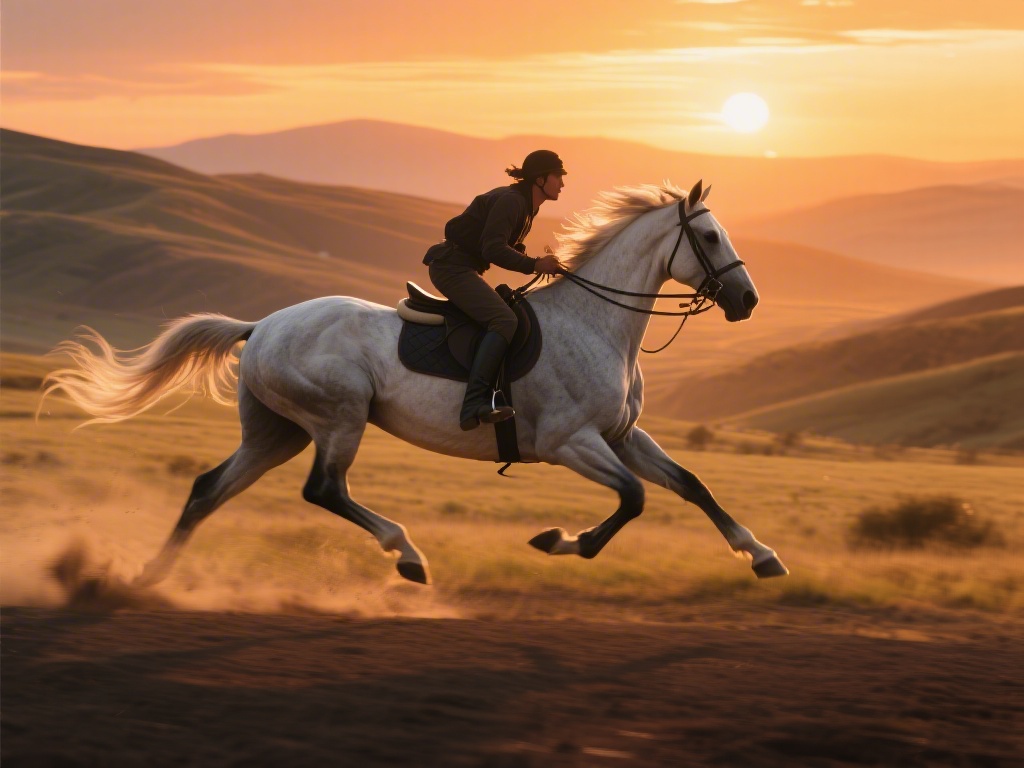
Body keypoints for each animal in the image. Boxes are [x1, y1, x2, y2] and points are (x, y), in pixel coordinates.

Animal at [42, 179, 788, 587]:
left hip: (276, 431)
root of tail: (262, 326)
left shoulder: (622, 435)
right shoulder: (569, 442)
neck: (598, 320)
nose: (749, 300)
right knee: (324, 491)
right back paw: (407, 555)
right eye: (711, 239)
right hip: (338, 417)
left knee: (207, 490)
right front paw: (560, 541)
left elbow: (691, 484)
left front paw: (761, 556)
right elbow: (633, 500)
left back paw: (146, 578)